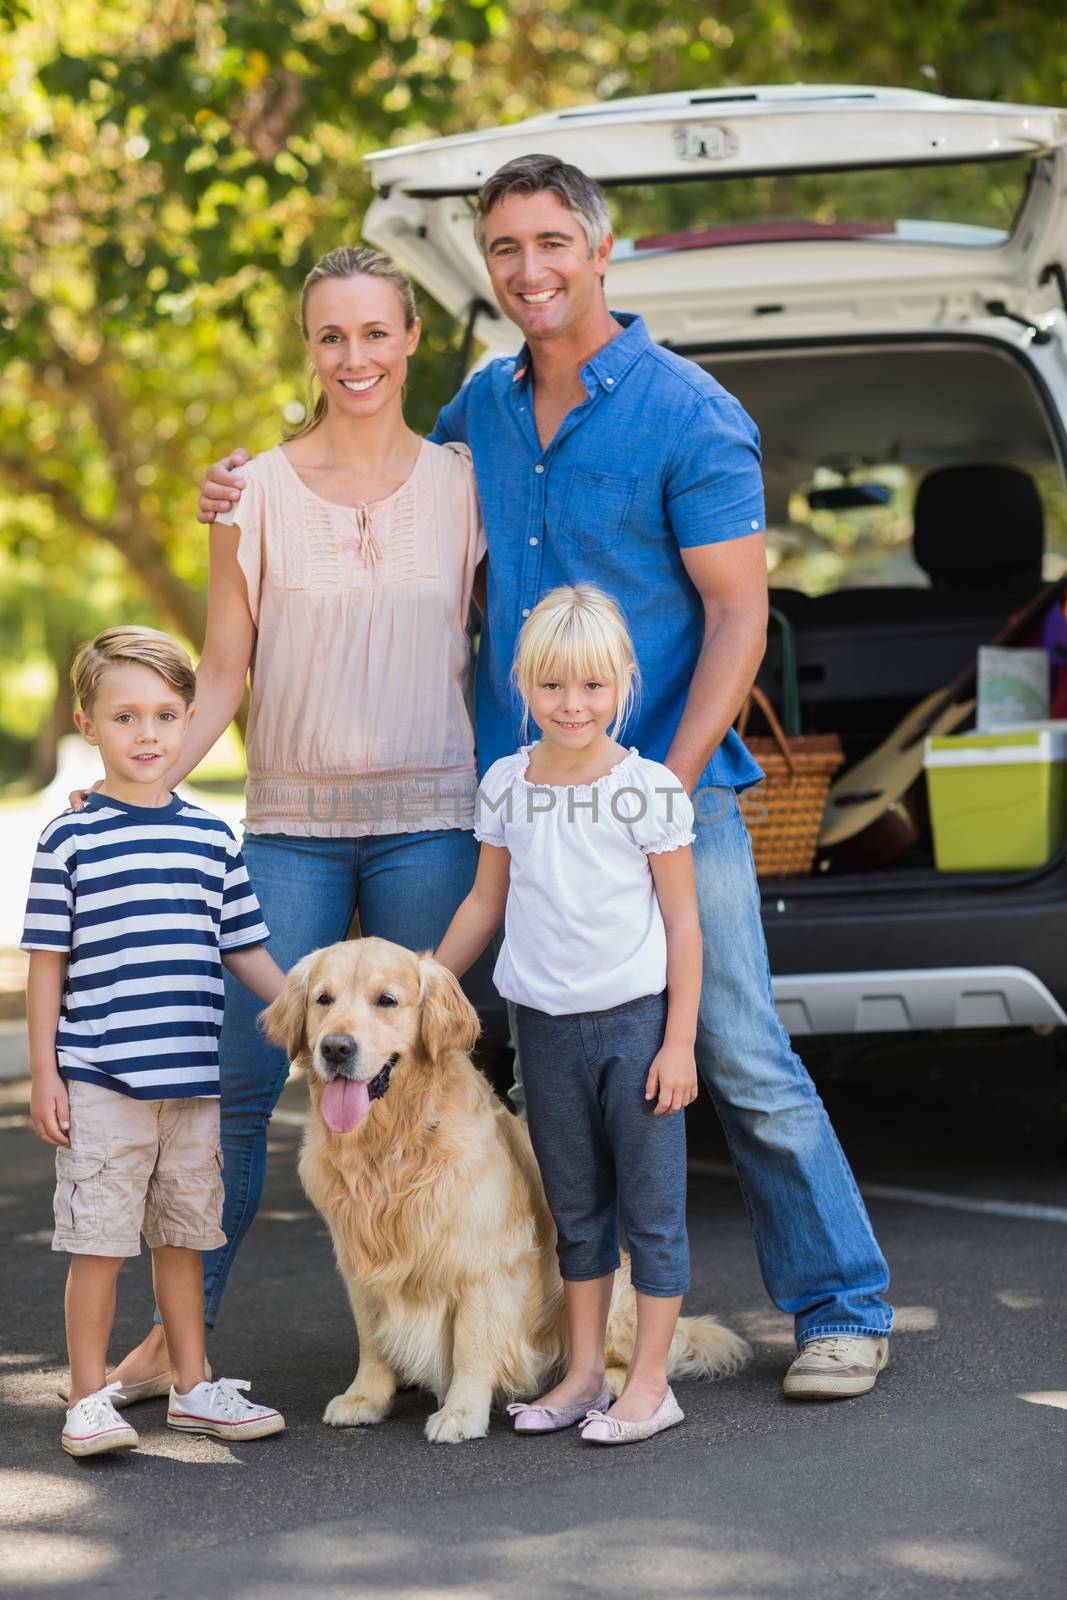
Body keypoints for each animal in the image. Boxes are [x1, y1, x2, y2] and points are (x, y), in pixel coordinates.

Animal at [262, 934, 748, 1446]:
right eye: (323, 1000)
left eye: (386, 1001)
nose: (335, 1048)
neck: (393, 1146)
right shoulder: (360, 1262)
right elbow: (371, 1338)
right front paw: (365, 1397)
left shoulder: (484, 1263)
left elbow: (472, 1346)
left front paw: (461, 1412)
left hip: (619, 1295)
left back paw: (618, 1387)